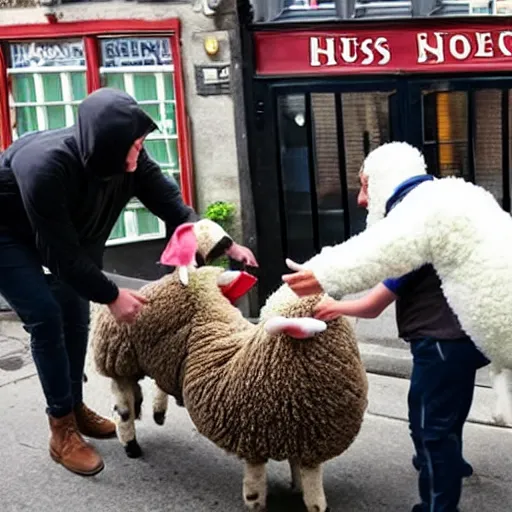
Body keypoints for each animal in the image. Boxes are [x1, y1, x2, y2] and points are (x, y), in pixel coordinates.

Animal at [89, 222, 368, 510]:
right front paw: (260, 501)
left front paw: (297, 487)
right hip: (119, 356)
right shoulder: (253, 440)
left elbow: (304, 475)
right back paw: (130, 442)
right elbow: (268, 486)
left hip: (158, 356)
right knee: (123, 405)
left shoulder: (304, 440)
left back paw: (157, 412)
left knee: (156, 383)